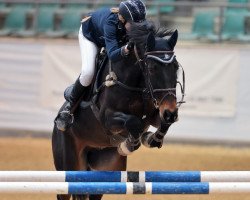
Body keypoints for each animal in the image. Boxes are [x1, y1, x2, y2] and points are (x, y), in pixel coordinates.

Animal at [51, 21, 185, 200]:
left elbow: (163, 123)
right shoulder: (107, 119)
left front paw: (151, 139)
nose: (171, 112)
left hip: (103, 171)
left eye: (175, 67)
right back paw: (64, 118)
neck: (136, 83)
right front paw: (129, 144)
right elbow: (133, 122)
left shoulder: (154, 113)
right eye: (151, 68)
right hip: (68, 167)